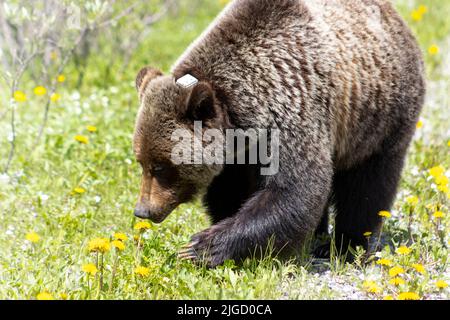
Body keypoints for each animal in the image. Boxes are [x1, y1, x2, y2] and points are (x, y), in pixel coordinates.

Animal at [131, 0, 426, 266]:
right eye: (141, 162)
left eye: (161, 167)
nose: (142, 210)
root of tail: (399, 21)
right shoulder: (236, 155)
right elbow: (230, 191)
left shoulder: (292, 114)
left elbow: (294, 191)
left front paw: (200, 247)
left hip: (379, 117)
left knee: (367, 185)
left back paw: (346, 246)